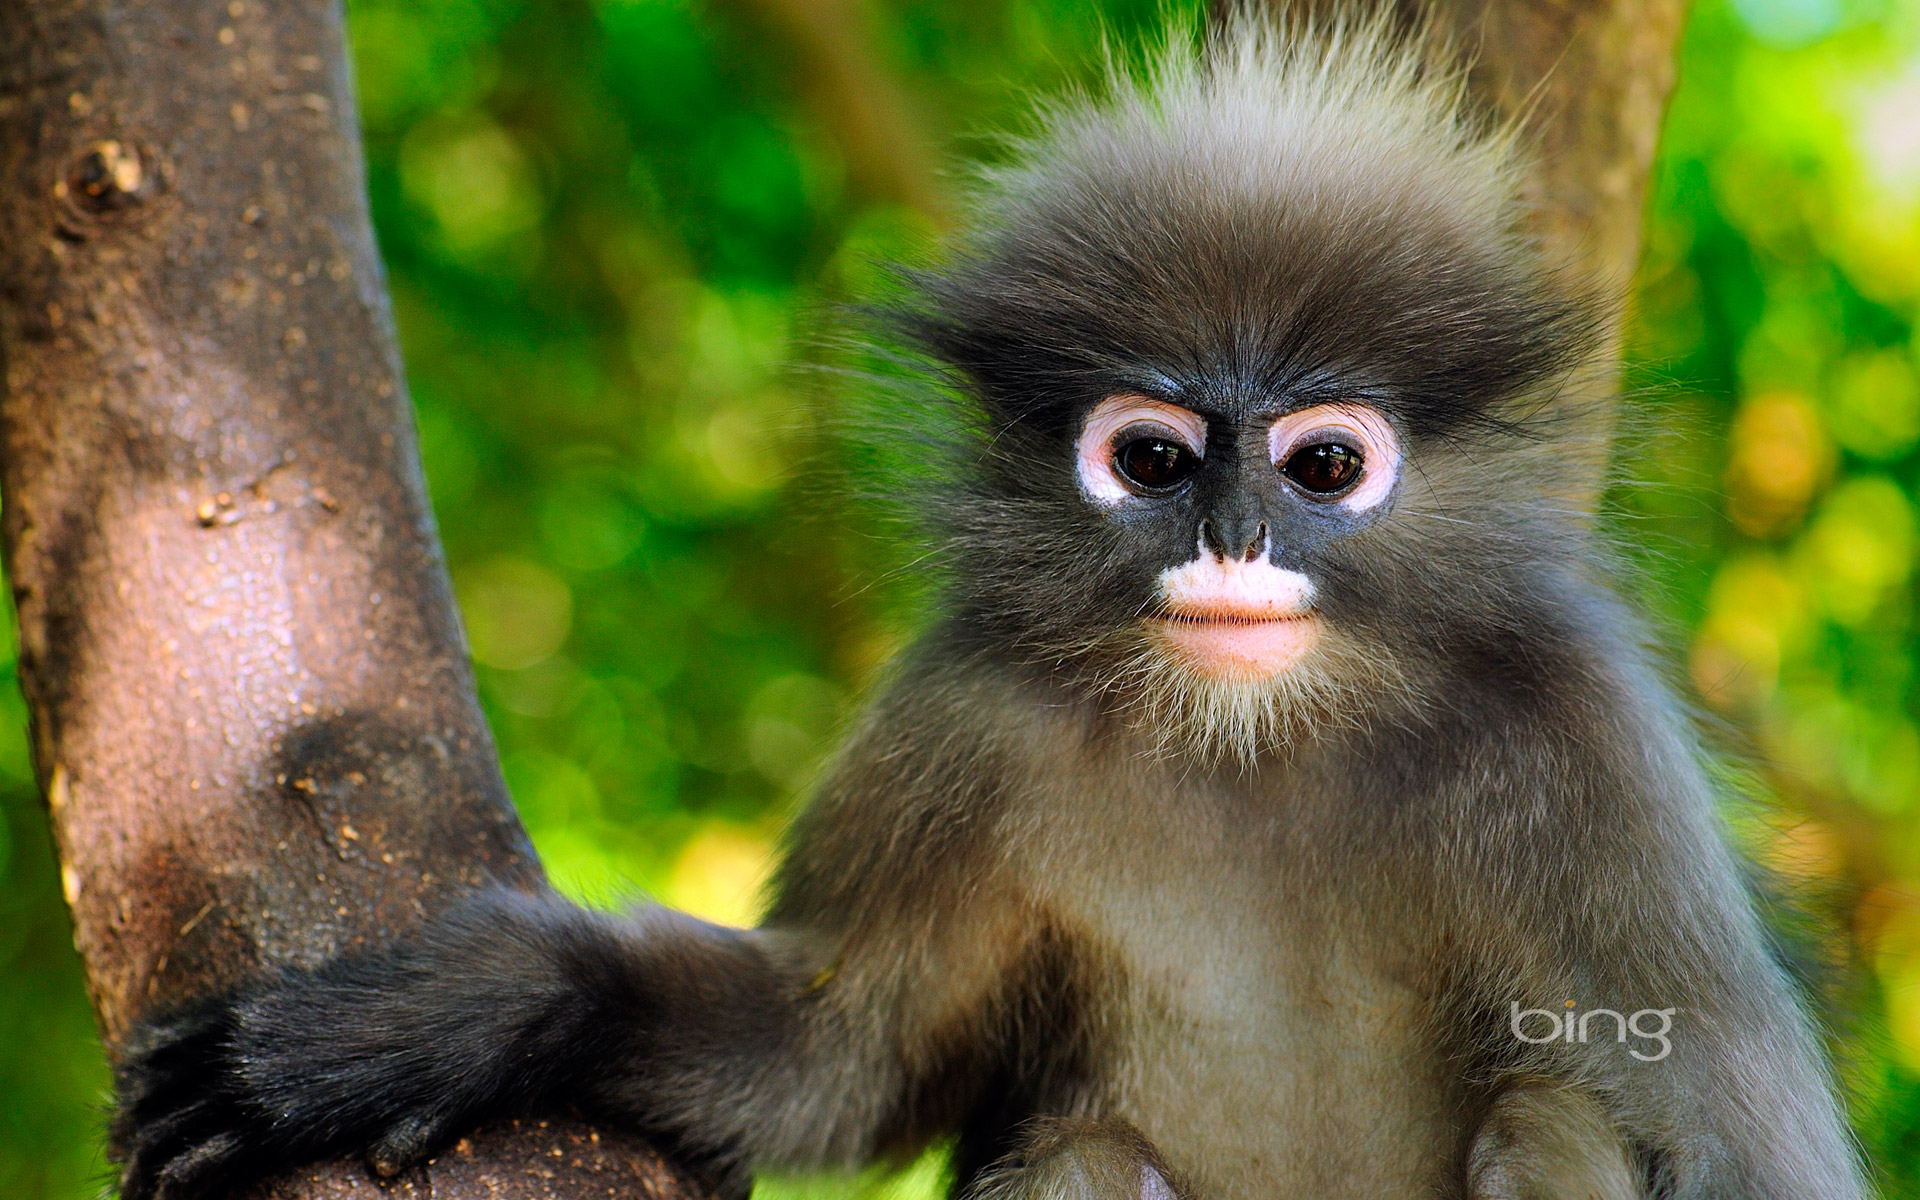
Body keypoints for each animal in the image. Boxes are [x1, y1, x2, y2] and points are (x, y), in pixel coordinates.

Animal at [112, 13, 1868, 1200]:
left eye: (1324, 465)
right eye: (1153, 457)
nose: (1234, 540)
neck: (1256, 743)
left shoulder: (1588, 744)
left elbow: (1747, 1147)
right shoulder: (958, 717)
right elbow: (833, 1058)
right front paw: (445, 1018)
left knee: (1555, 1114)